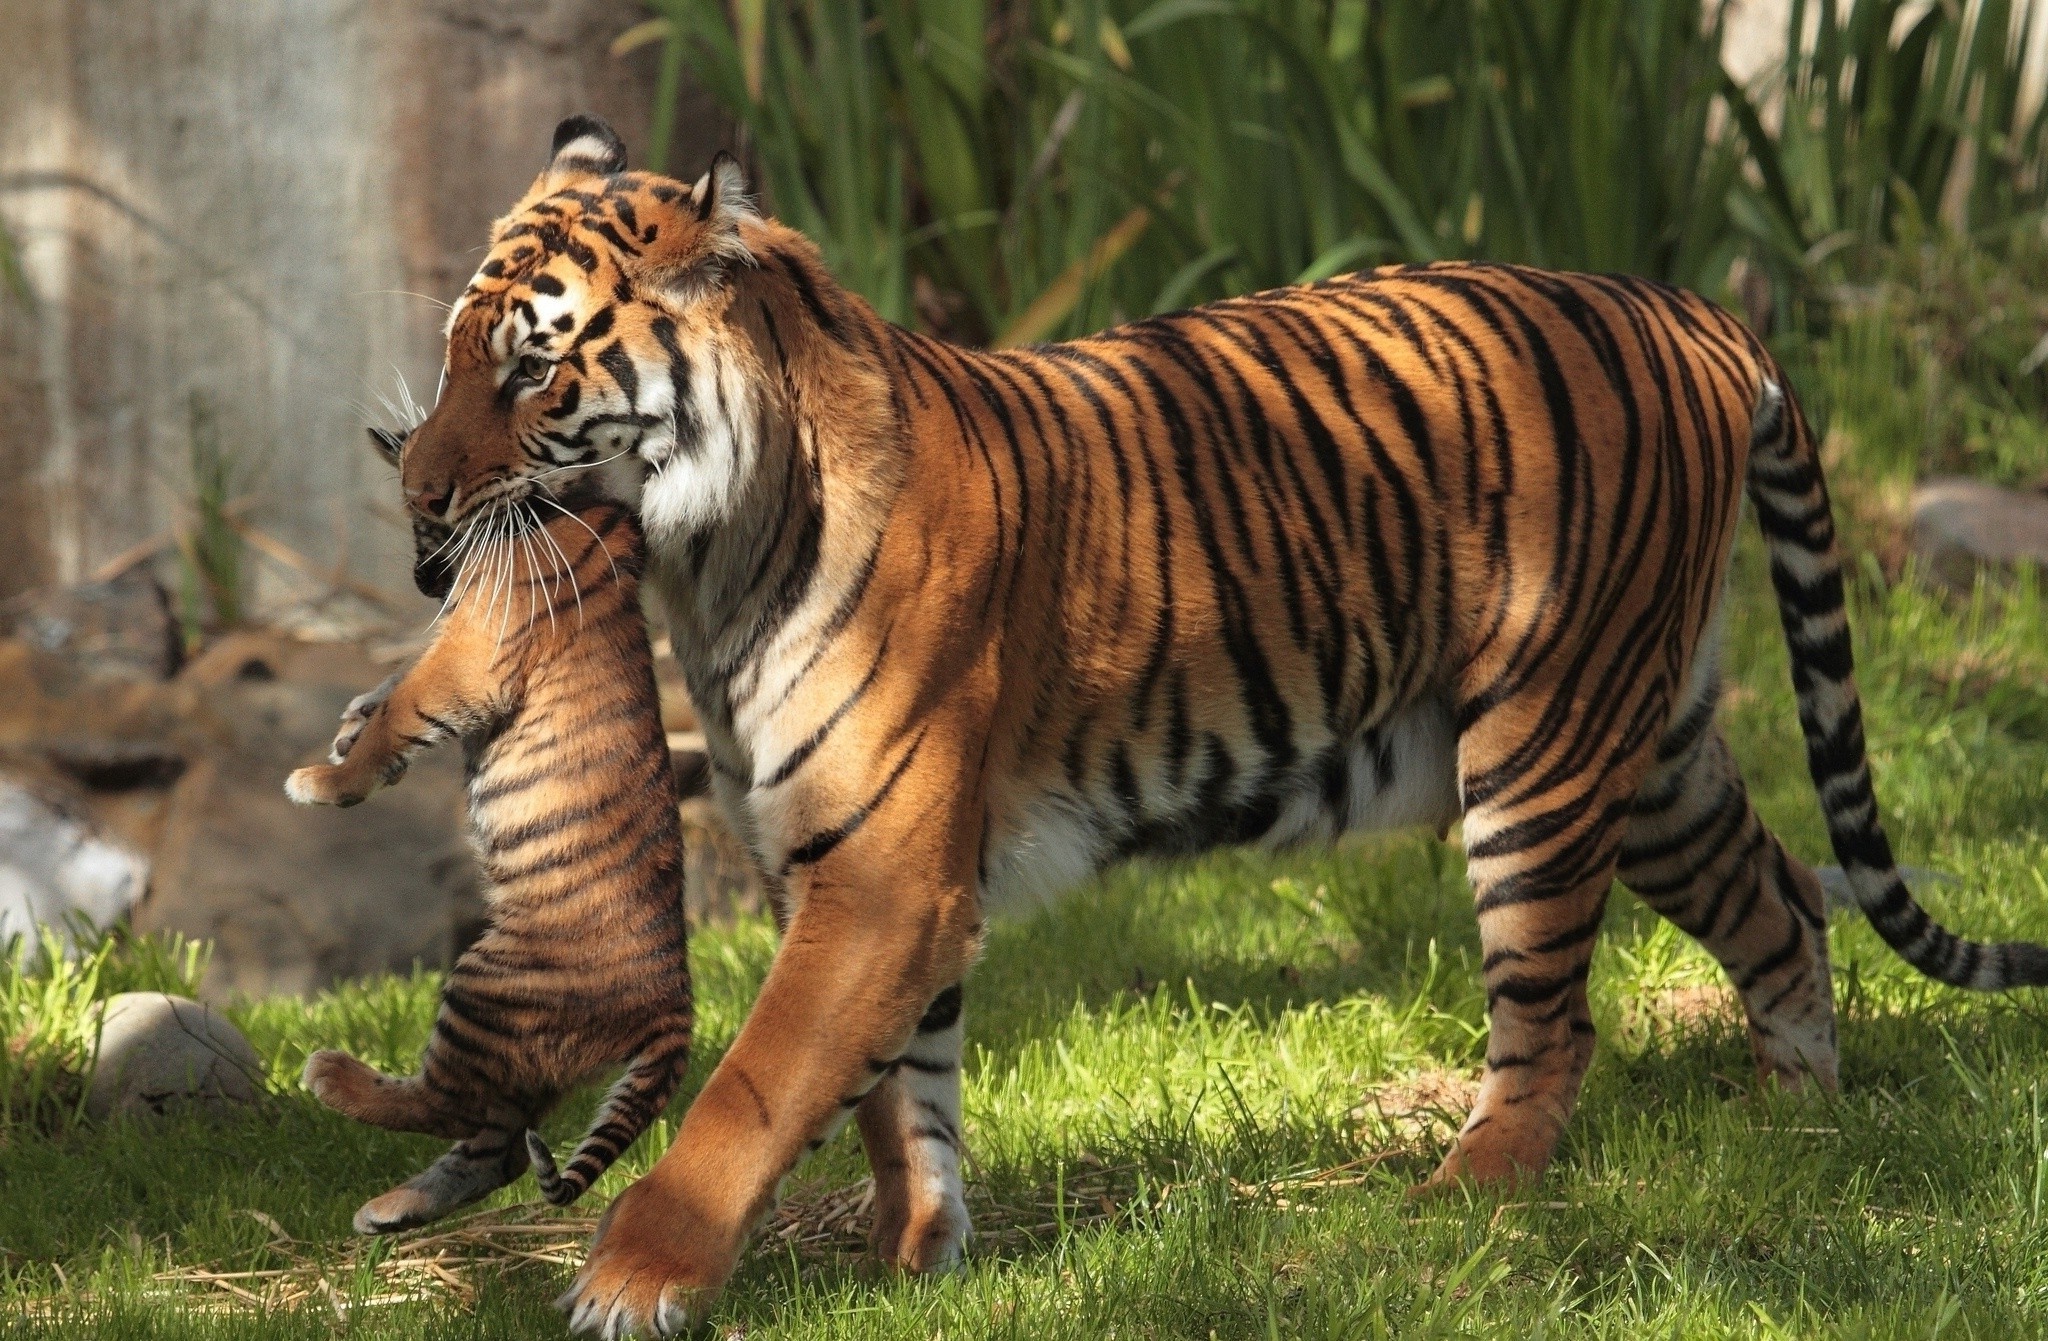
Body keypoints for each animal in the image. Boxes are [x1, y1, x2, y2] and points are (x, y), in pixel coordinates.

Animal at [285, 455, 692, 1236]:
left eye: (421, 516)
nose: (422, 581)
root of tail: (675, 1007)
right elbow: (391, 690)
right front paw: (351, 723)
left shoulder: (470, 659)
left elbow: (403, 709)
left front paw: (327, 779)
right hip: (520, 1055)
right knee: (494, 1150)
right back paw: (390, 1209)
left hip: (489, 987)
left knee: (447, 1105)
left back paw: (332, 1077)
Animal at [360, 114, 2048, 1335]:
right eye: (452, 355)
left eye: (531, 366)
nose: (416, 495)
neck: (708, 560)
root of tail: (1692, 309)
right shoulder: (865, 867)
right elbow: (905, 1092)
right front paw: (916, 1261)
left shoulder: (884, 870)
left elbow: (760, 1087)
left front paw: (630, 1279)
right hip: (1650, 748)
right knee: (1782, 901)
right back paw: (1797, 1129)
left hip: (1545, 752)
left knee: (1556, 1019)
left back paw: (1466, 1197)